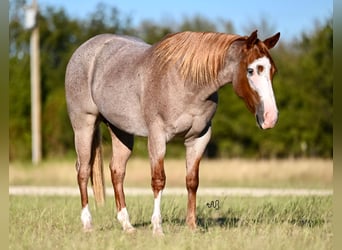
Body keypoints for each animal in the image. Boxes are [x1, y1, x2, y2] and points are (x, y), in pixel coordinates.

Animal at [65, 29, 280, 234]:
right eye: (251, 70)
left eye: (272, 71)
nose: (270, 117)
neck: (186, 82)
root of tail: (83, 50)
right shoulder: (157, 136)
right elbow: (158, 180)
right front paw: (157, 228)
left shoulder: (199, 138)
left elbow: (192, 181)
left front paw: (192, 226)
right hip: (83, 124)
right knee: (83, 170)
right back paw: (87, 224)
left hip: (121, 130)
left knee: (117, 171)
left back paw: (127, 225)